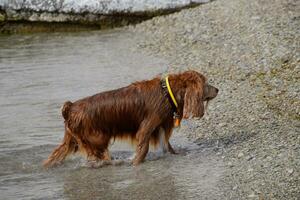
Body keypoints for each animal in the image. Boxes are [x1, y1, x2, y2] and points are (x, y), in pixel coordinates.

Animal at [43, 70, 218, 167]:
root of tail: (71, 107)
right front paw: (135, 164)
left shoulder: (160, 127)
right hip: (97, 139)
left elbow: (168, 146)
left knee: (55, 155)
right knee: (99, 158)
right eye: (206, 83)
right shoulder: (146, 128)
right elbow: (143, 149)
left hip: (71, 140)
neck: (166, 93)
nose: (217, 89)